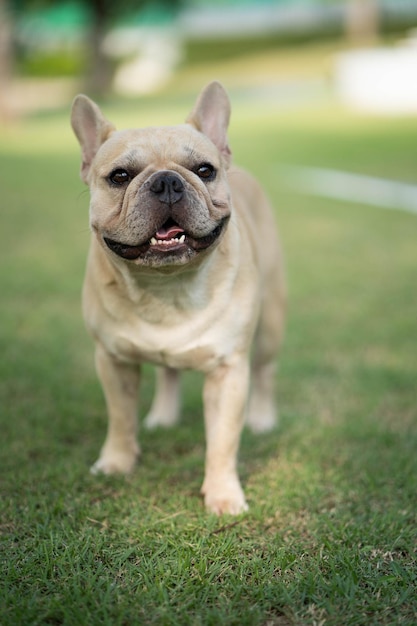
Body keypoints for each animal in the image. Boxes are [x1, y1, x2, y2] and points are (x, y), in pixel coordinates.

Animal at [72, 80, 286, 516]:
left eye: (204, 170)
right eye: (119, 176)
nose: (167, 181)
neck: (165, 287)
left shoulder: (228, 372)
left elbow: (223, 441)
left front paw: (223, 495)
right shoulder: (113, 360)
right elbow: (120, 418)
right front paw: (117, 462)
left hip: (271, 323)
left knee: (265, 370)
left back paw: (261, 418)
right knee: (167, 372)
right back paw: (163, 416)